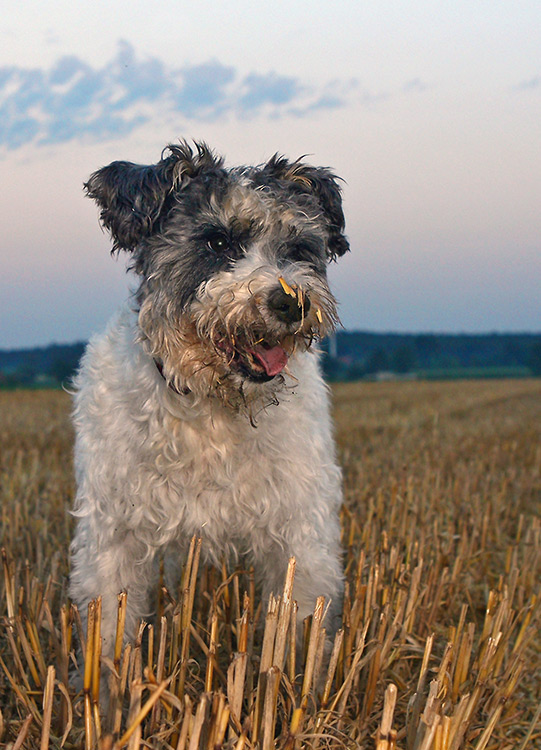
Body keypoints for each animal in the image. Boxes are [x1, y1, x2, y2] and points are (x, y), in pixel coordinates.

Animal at [69, 140, 348, 664]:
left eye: (298, 250)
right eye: (218, 243)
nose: (290, 303)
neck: (211, 408)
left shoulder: (300, 531)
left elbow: (297, 625)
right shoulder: (112, 536)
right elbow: (108, 630)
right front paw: (105, 685)